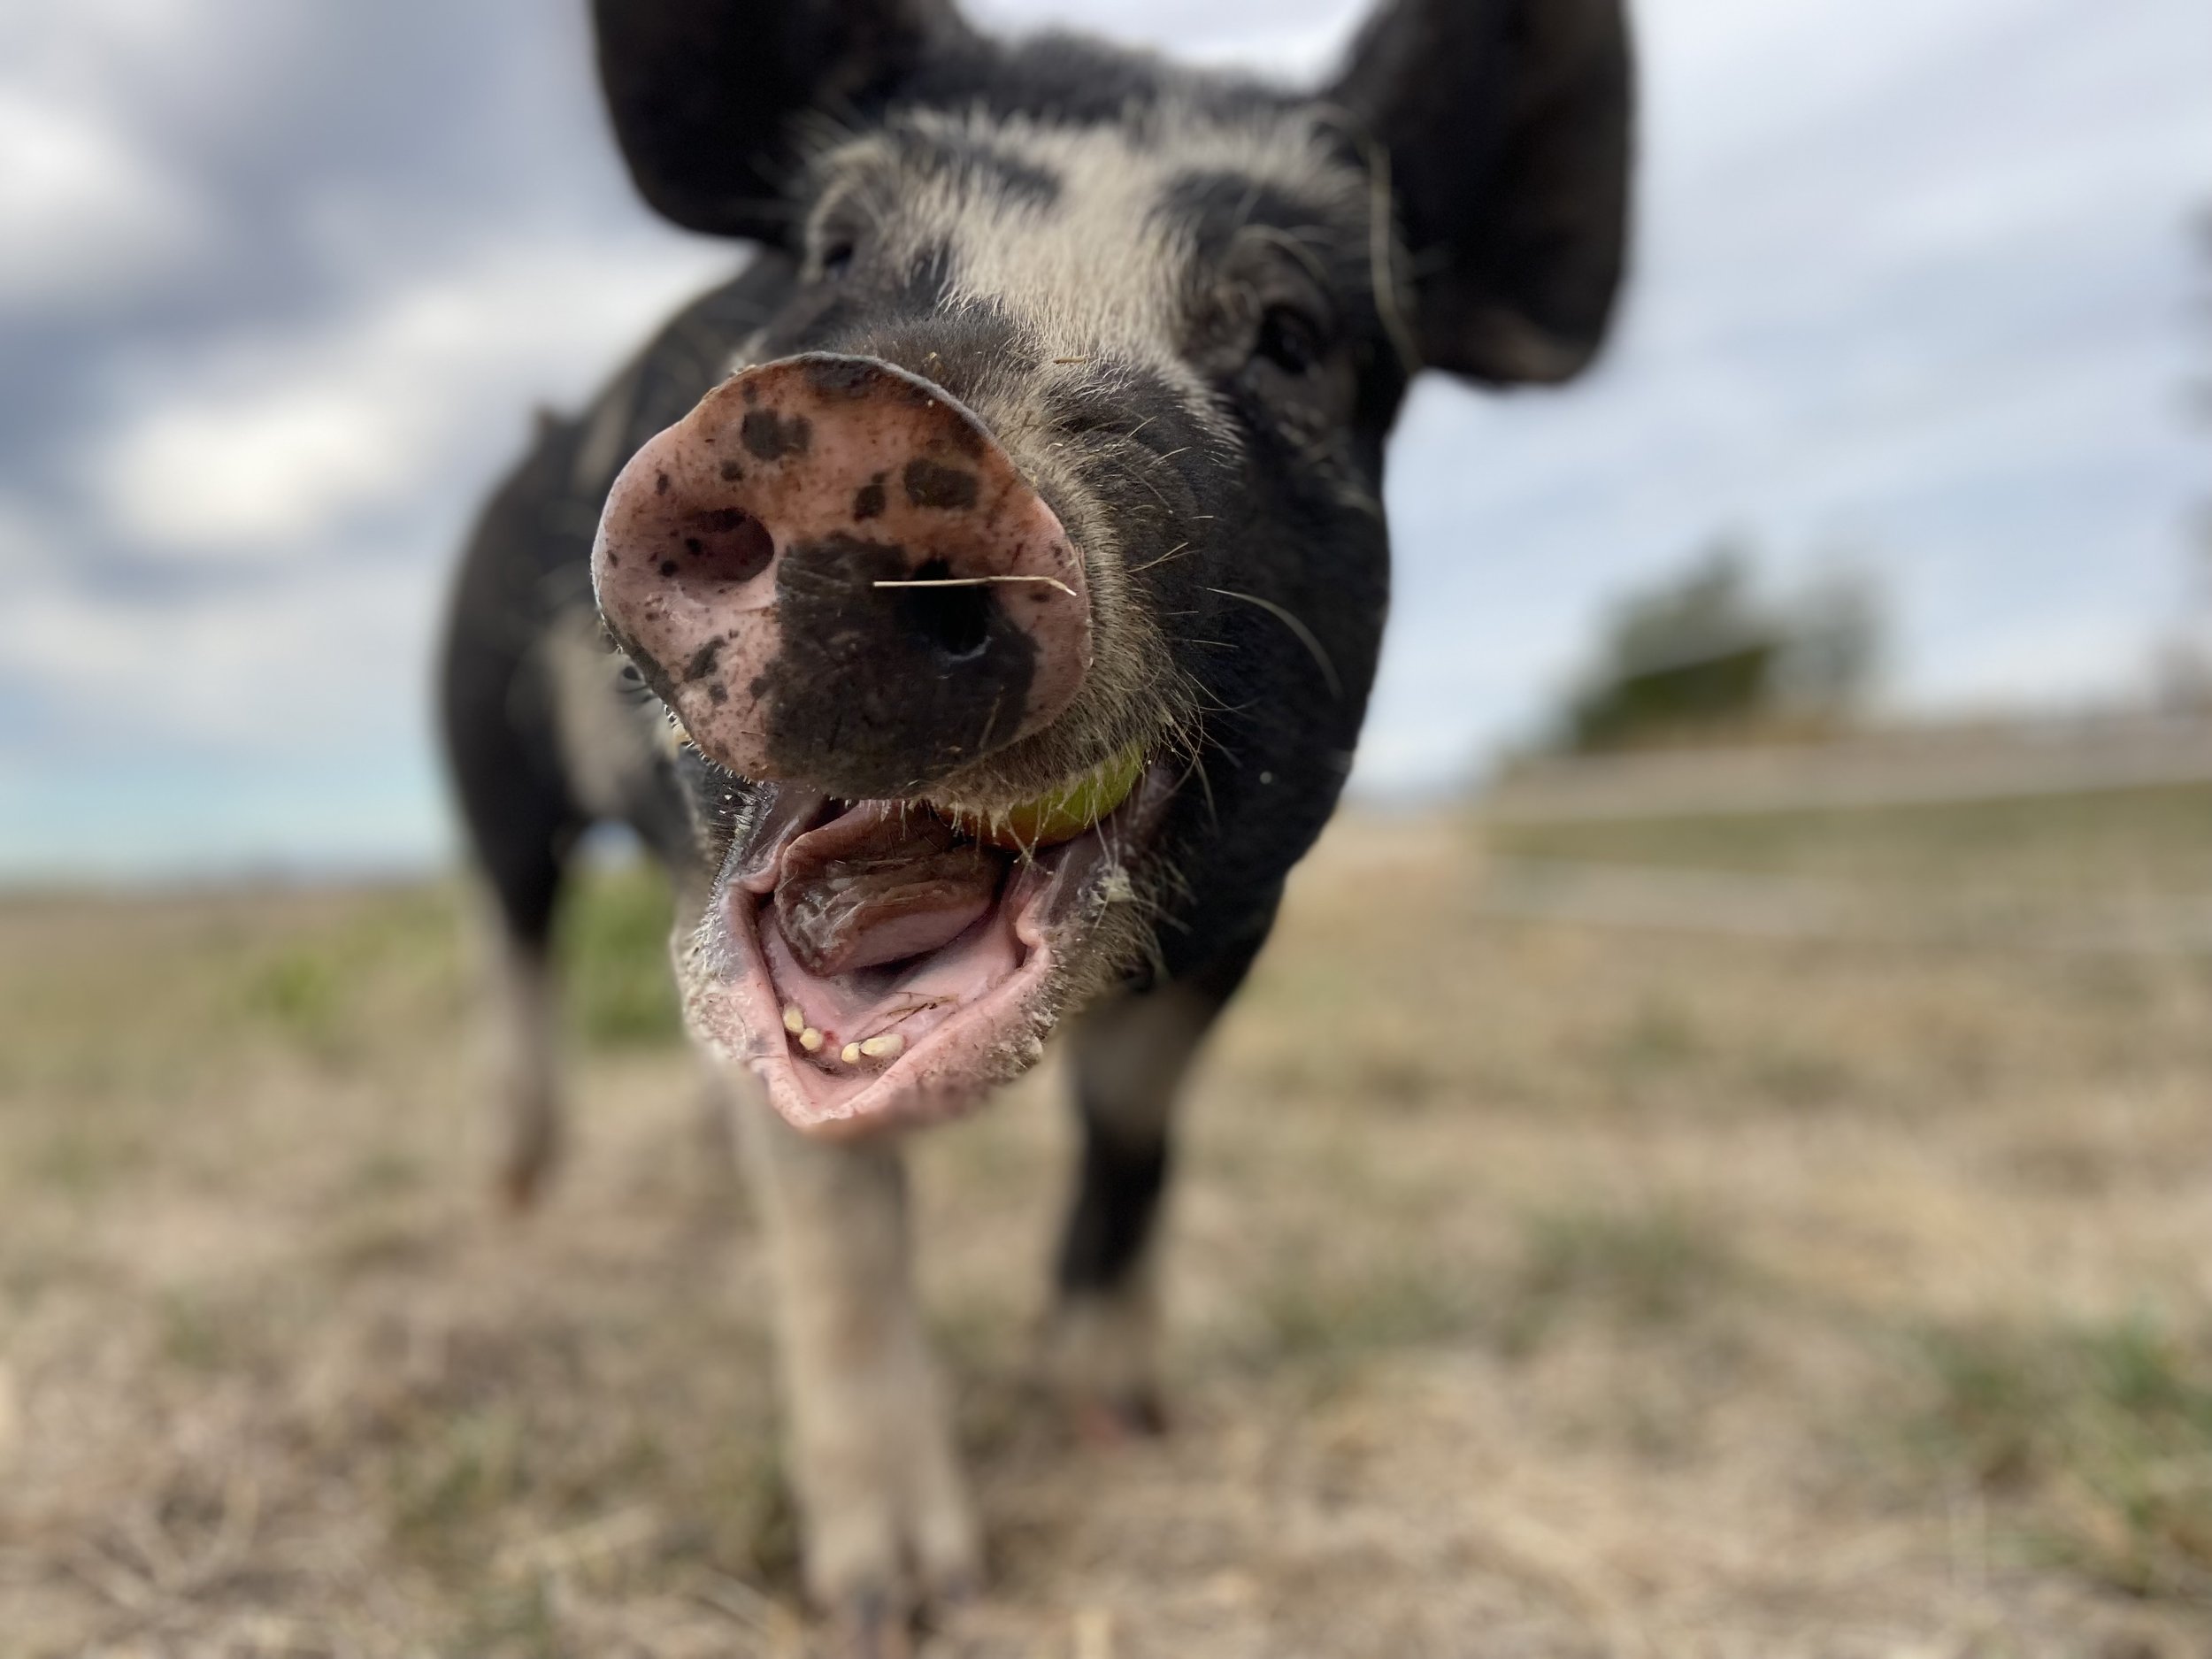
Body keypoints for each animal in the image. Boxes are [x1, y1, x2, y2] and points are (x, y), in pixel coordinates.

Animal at [439, 0, 1630, 1643]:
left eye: (1294, 335)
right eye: (836, 244)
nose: (870, 424)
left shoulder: (1243, 909)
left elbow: (1134, 1122)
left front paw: (1116, 1418)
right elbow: (835, 1202)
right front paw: (899, 1601)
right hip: (477, 754)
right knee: (516, 935)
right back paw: (512, 1200)